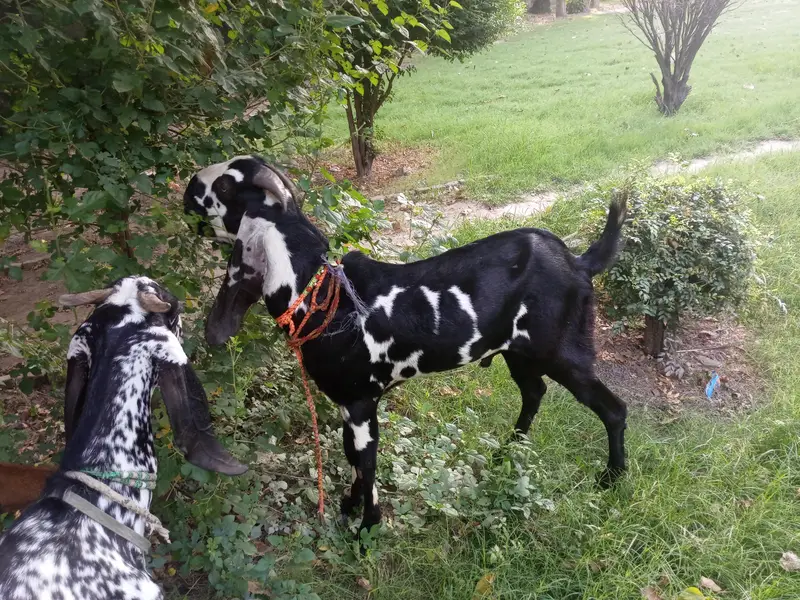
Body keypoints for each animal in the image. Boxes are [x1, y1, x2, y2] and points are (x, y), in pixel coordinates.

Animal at [183, 156, 628, 539]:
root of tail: (580, 263)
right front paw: (349, 510)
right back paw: (507, 454)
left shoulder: (361, 403)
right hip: (519, 354)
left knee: (613, 409)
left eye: (225, 184)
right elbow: (354, 461)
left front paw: (367, 530)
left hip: (563, 353)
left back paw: (612, 478)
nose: (187, 186)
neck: (323, 293)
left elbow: (366, 465)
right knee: (535, 392)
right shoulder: (348, 406)